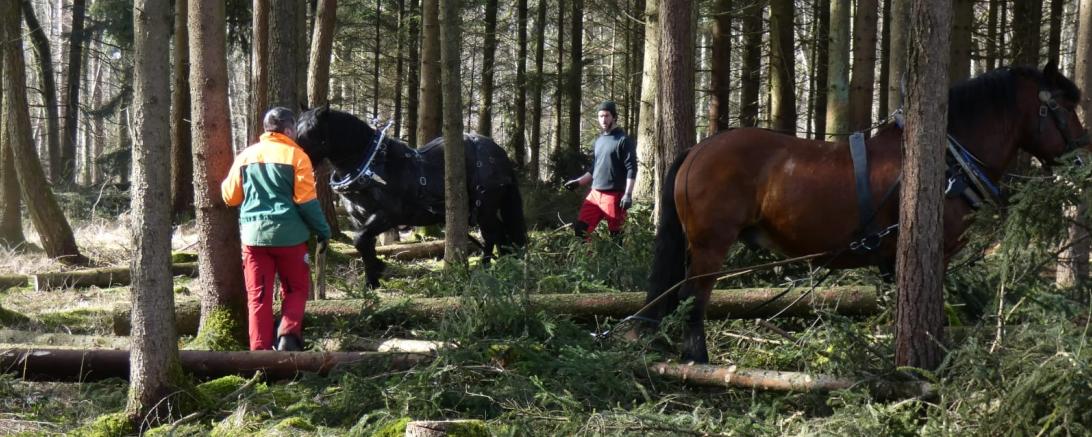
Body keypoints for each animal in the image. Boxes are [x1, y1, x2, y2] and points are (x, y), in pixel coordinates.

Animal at [294, 106, 528, 288]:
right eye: (297, 128)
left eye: (312, 132)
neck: (371, 167)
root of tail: (499, 153)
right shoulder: (359, 218)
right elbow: (364, 244)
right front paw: (372, 279)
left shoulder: (388, 215)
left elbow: (359, 239)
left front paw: (378, 270)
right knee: (501, 235)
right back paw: (506, 263)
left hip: (485, 207)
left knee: (493, 235)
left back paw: (486, 267)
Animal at [646, 63, 1090, 363]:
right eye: (1065, 108)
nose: (1083, 158)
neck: (950, 160)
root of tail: (698, 149)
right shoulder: (936, 253)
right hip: (710, 245)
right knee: (693, 300)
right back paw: (697, 360)